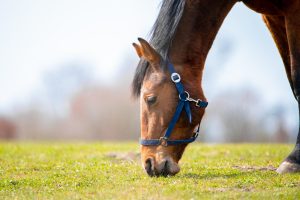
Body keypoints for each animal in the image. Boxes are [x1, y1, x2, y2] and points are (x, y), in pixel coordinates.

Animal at [132, 0, 300, 176]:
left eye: (151, 99)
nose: (148, 163)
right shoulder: (272, 18)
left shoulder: (294, 12)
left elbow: (297, 81)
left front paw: (294, 160)